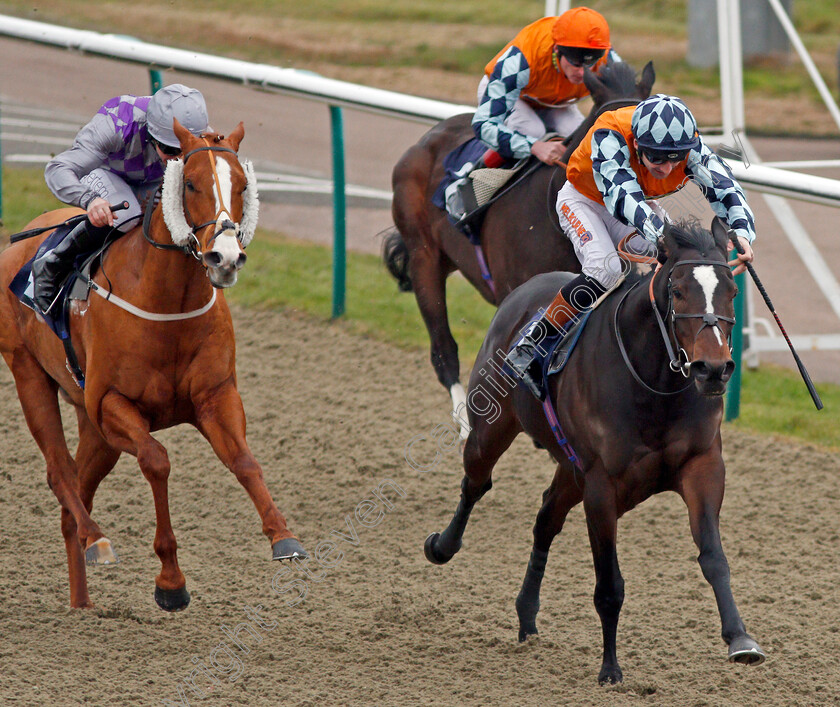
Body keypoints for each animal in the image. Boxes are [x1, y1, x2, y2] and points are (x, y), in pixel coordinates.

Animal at [0, 119, 308, 612]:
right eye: (193, 183)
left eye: (244, 185)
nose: (225, 257)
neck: (168, 302)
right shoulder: (113, 403)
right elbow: (156, 460)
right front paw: (171, 581)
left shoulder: (215, 396)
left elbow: (244, 461)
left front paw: (284, 537)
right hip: (29, 373)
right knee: (60, 473)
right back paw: (97, 538)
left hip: (94, 427)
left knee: (75, 493)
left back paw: (82, 600)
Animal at [424, 218, 764, 684]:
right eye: (677, 291)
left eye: (731, 290)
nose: (712, 369)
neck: (654, 383)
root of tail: (522, 293)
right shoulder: (603, 486)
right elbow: (609, 586)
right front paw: (610, 668)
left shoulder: (703, 466)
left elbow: (714, 557)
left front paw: (740, 639)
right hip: (491, 429)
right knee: (476, 483)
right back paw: (442, 546)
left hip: (570, 471)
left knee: (545, 519)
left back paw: (527, 616)